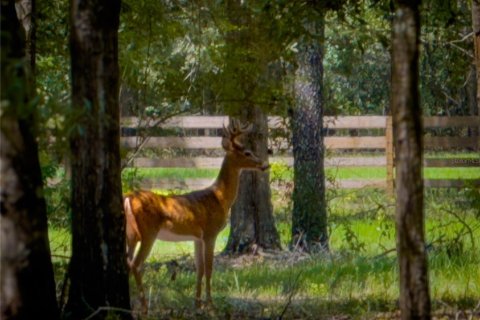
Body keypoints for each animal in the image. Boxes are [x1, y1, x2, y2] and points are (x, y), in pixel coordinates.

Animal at [124, 119, 268, 312]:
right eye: (247, 152)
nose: (265, 164)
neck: (220, 197)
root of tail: (128, 198)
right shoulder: (210, 232)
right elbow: (209, 268)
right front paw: (211, 304)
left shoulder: (197, 237)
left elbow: (199, 269)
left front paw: (197, 303)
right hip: (148, 232)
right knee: (136, 264)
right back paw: (145, 306)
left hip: (131, 234)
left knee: (126, 262)